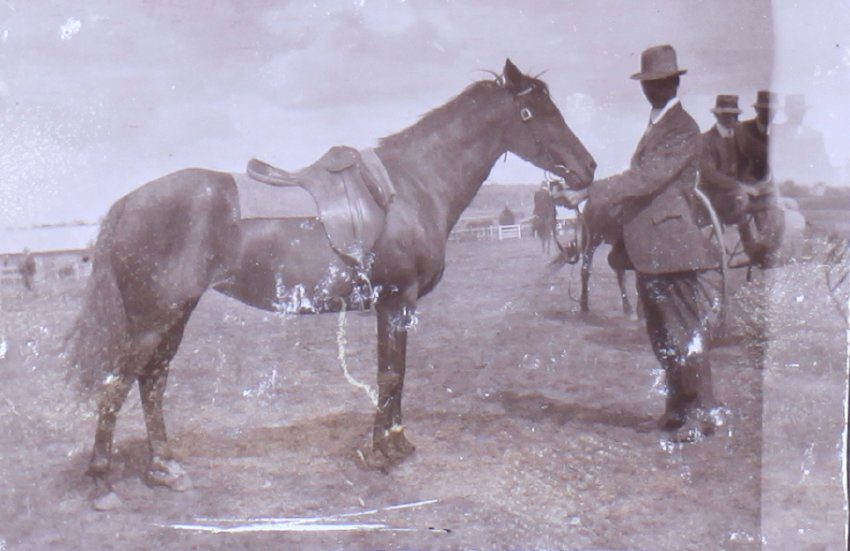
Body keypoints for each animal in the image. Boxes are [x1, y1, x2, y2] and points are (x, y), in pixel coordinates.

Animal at [67, 59, 596, 510]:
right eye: (537, 113)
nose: (588, 168)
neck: (411, 185)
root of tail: (128, 203)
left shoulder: (394, 305)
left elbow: (394, 373)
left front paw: (397, 443)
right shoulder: (397, 300)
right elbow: (390, 375)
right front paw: (384, 451)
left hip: (174, 314)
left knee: (152, 382)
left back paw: (165, 468)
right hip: (154, 317)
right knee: (117, 384)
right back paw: (101, 482)